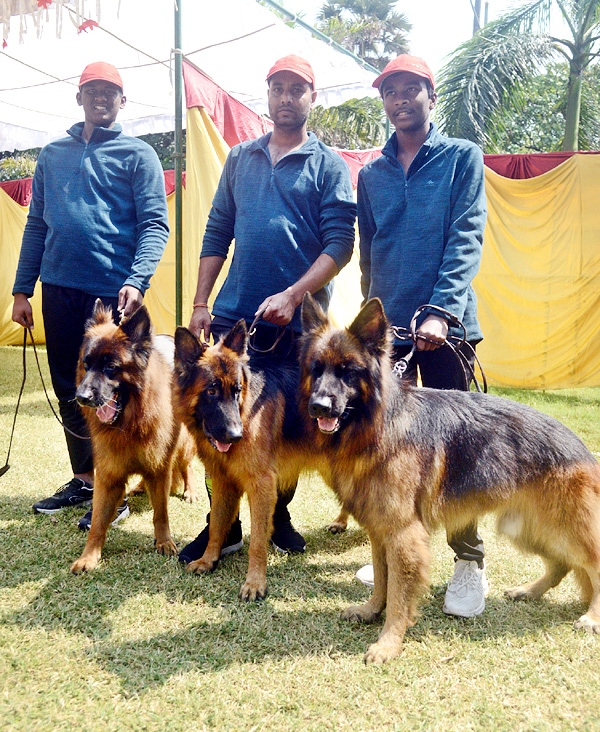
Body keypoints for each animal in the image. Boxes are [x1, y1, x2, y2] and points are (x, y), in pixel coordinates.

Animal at [70, 300, 196, 576]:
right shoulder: (108, 475)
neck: (129, 424)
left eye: (111, 367)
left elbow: (161, 512)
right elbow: (98, 522)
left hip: (182, 445)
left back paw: (190, 490)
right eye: (86, 364)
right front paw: (89, 556)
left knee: (186, 465)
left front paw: (164, 541)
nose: (81, 397)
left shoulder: (159, 469)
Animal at [172, 320, 310, 600]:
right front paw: (208, 560)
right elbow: (216, 525)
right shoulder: (223, 482)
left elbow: (257, 540)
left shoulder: (262, 487)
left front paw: (255, 582)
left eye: (237, 391)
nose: (236, 436)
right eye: (211, 390)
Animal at [300, 292, 600, 664]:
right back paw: (529, 591)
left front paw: (388, 642)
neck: (379, 424)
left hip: (563, 527)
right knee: (562, 563)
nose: (318, 407)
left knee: (590, 563)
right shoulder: (380, 530)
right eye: (316, 369)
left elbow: (399, 594)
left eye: (348, 372)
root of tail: (580, 446)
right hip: (530, 529)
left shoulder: (403, 534)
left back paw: (592, 616)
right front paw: (371, 610)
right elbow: (383, 579)